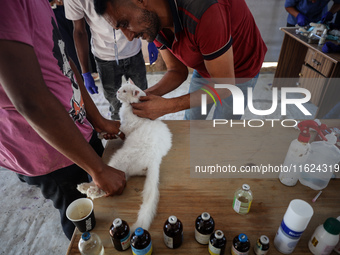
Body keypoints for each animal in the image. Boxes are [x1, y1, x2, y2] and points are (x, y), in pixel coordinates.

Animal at [106, 82, 171, 230]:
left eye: (124, 91)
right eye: (121, 87)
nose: (117, 92)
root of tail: (155, 160)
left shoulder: (126, 127)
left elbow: (121, 128)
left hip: (118, 159)